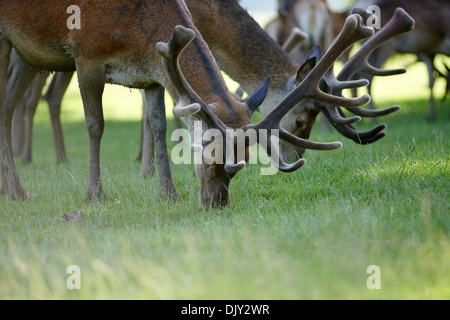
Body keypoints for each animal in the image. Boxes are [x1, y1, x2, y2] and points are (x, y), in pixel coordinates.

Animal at [0, 0, 376, 208]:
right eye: (211, 157)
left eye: (241, 165)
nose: (216, 205)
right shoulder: (86, 56)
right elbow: (96, 124)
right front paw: (95, 195)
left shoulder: (152, 74)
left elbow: (158, 123)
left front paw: (168, 194)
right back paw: (19, 189)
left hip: (28, 53)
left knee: (7, 105)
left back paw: (9, 187)